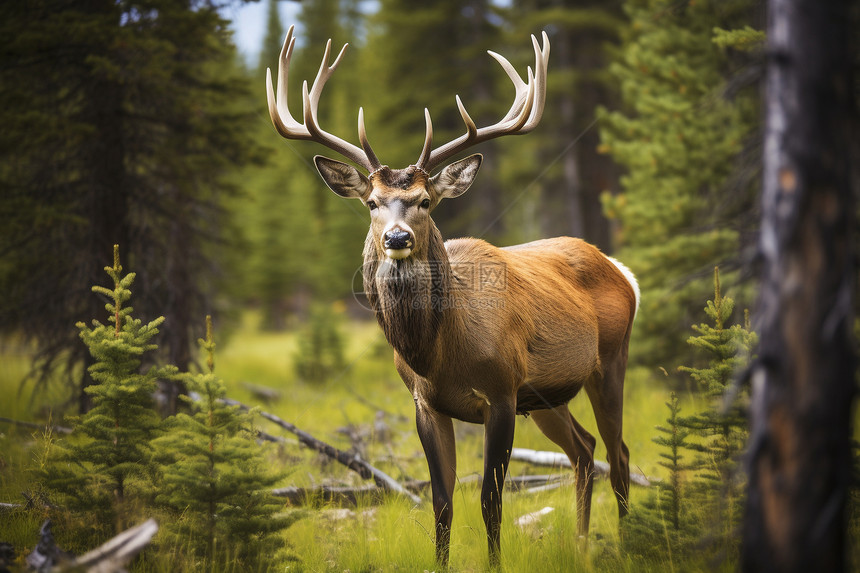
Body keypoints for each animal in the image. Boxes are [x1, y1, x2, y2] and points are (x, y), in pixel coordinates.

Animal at [268, 25, 640, 564]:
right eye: (372, 202)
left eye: (425, 201)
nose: (396, 238)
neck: (438, 352)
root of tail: (620, 270)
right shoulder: (426, 403)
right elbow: (442, 503)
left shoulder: (502, 392)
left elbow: (489, 500)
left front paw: (496, 563)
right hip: (546, 396)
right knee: (586, 450)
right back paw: (581, 545)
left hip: (609, 360)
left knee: (619, 452)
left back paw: (628, 544)